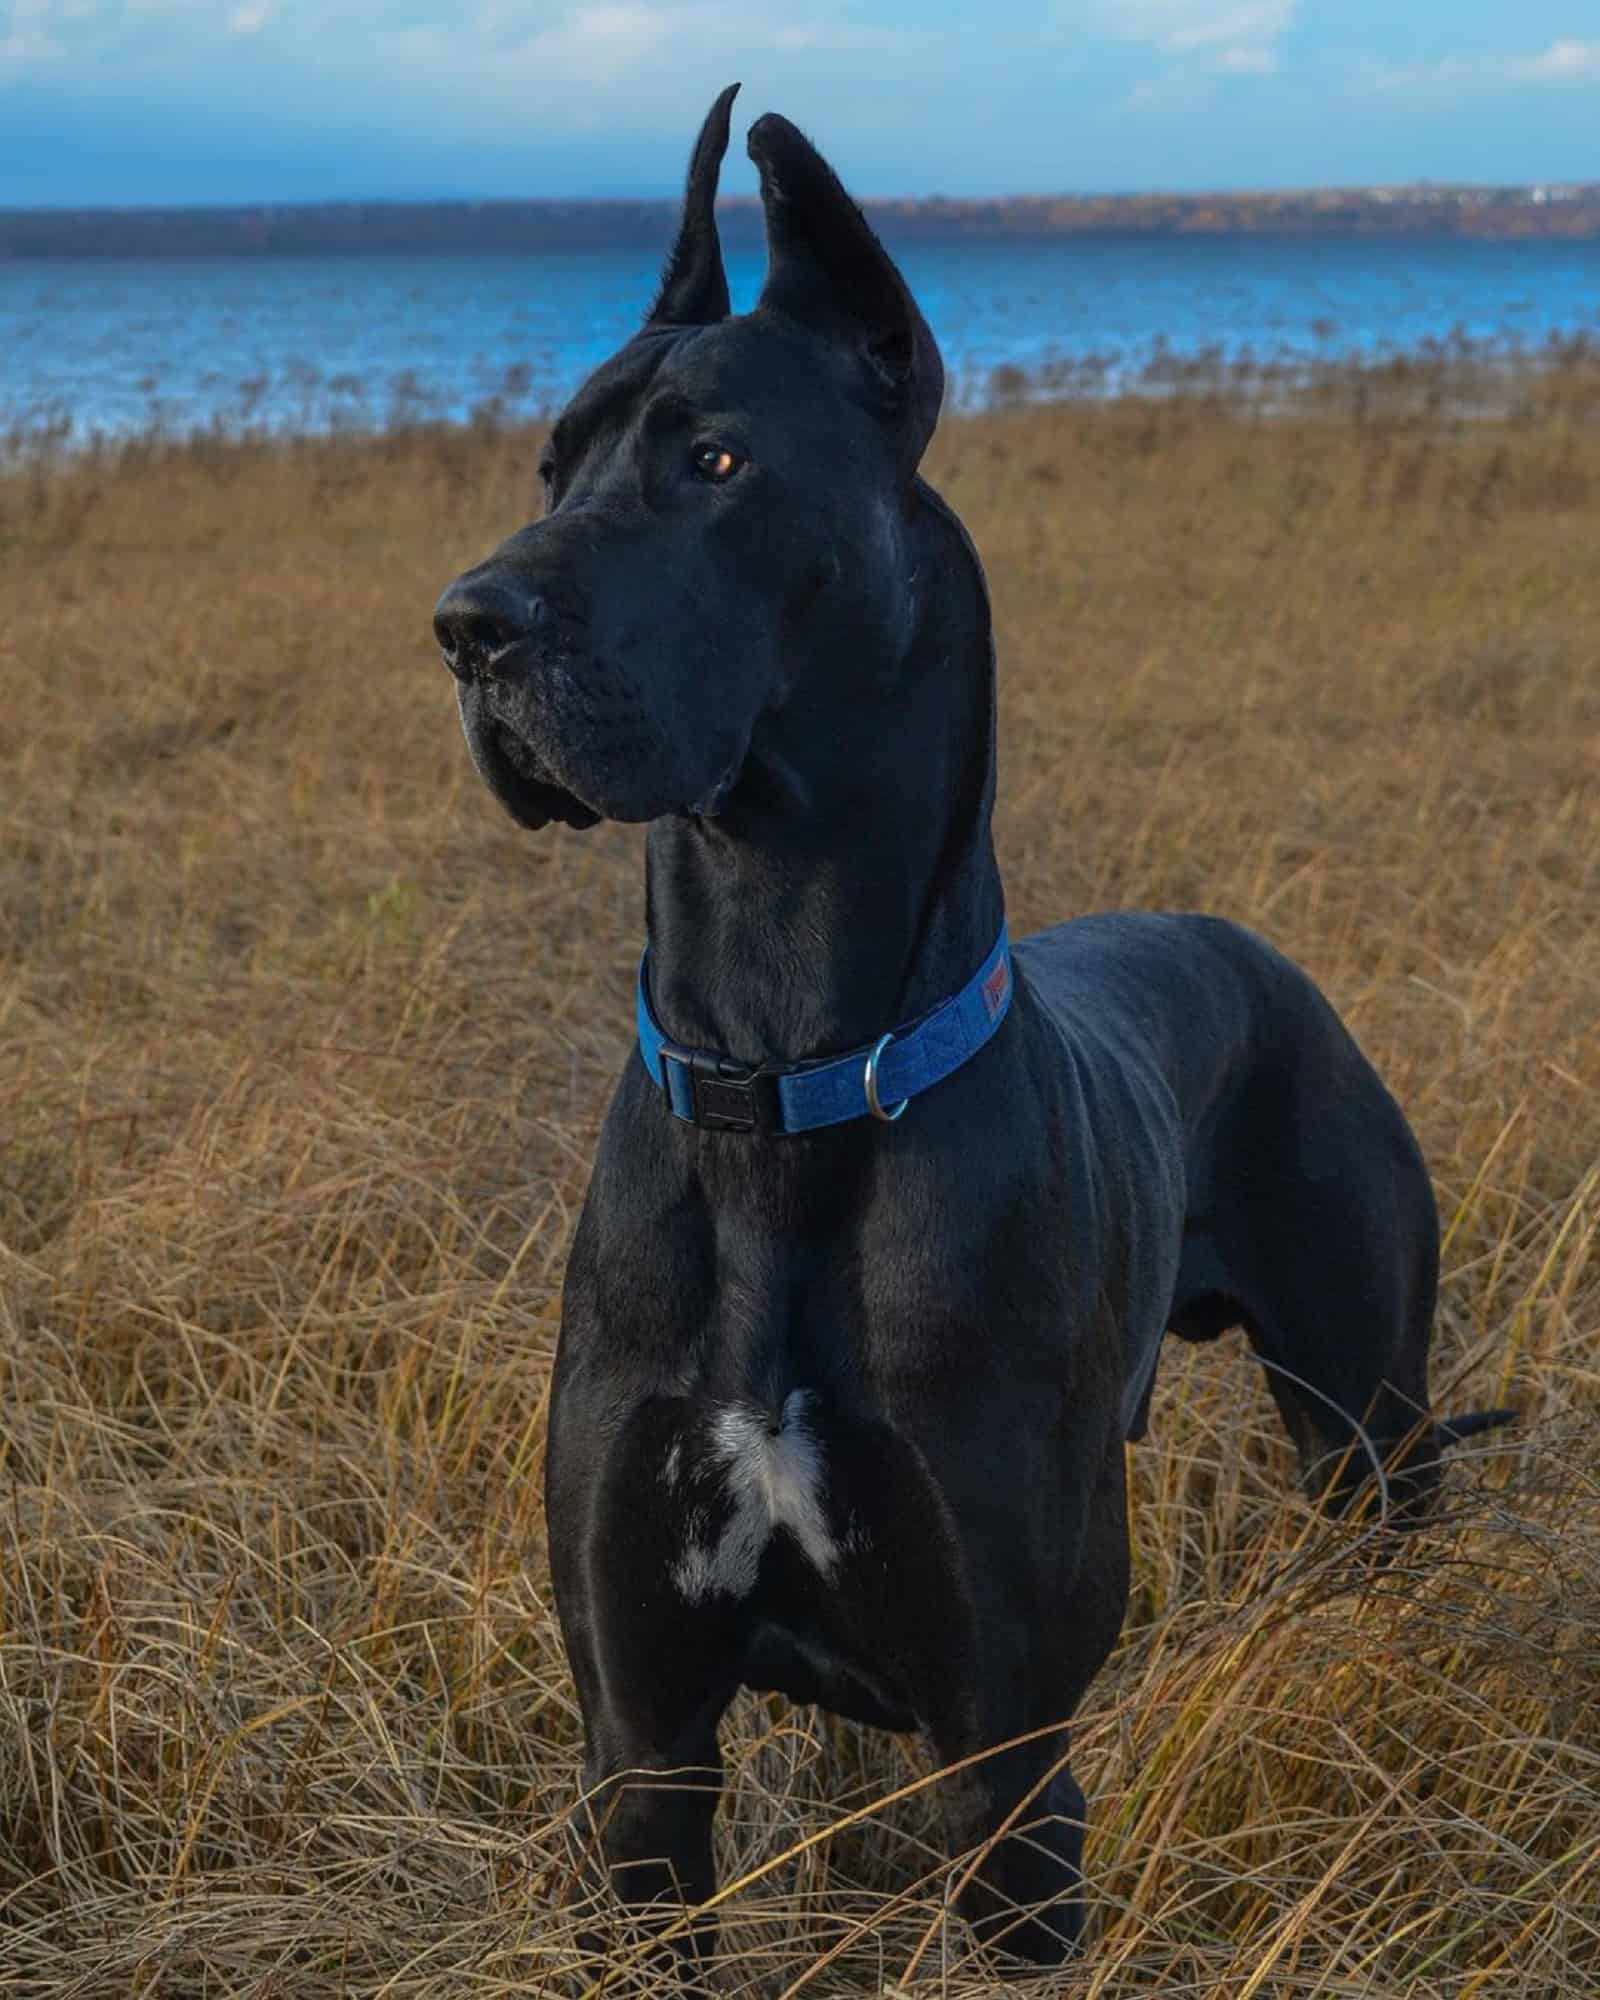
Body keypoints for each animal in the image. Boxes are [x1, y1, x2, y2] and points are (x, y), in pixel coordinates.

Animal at [432, 94, 1504, 1968]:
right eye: (549, 466)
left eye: (718, 464)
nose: (466, 629)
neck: (781, 1078)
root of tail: (1258, 954)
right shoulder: (640, 1750)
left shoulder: (1009, 1763)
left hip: (1368, 1429)